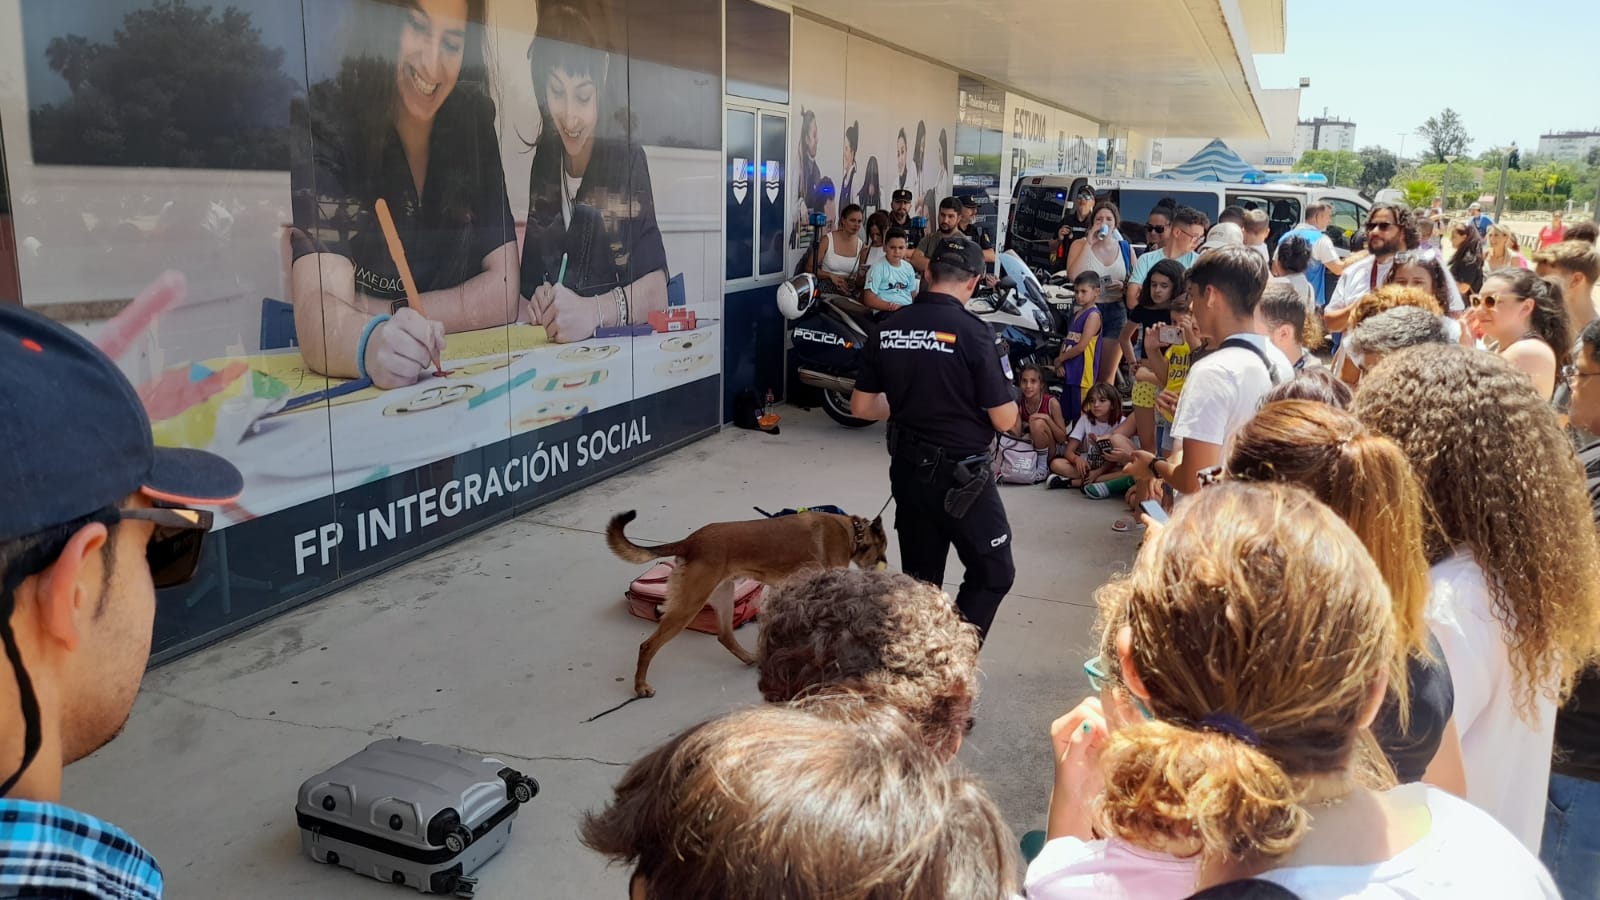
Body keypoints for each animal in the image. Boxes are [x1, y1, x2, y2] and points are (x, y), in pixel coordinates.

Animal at [608, 506, 896, 695]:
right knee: (648, 646)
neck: (853, 532)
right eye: (882, 550)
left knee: (725, 636)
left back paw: (750, 658)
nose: (885, 565)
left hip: (723, 595)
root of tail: (690, 542)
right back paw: (640, 686)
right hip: (690, 604)